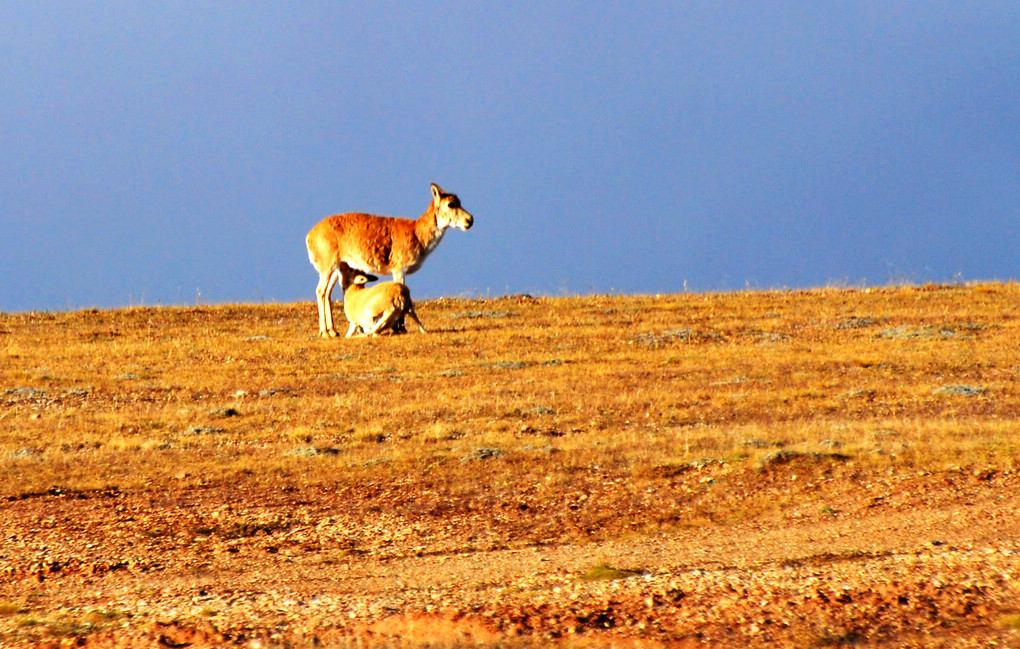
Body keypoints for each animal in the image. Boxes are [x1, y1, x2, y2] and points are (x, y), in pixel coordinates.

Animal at [306, 181, 473, 336]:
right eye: (451, 204)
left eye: (459, 201)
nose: (470, 220)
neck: (416, 232)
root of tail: (310, 235)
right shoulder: (399, 270)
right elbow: (401, 288)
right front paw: (400, 328)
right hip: (328, 268)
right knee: (320, 291)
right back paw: (324, 332)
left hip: (338, 268)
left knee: (328, 292)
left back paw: (333, 331)